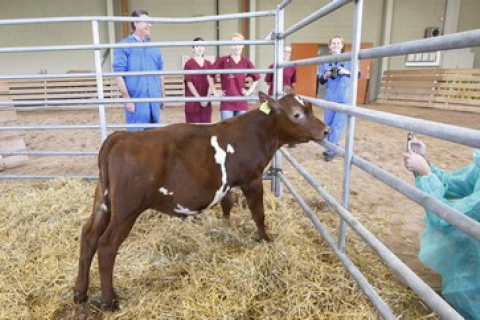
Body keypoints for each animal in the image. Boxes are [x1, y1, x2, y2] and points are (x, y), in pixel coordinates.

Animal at [73, 92, 328, 310]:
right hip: (127, 209)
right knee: (107, 245)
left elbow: (227, 204)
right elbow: (258, 213)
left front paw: (227, 225)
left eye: (309, 108)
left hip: (103, 201)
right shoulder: (252, 179)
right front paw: (266, 240)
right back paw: (108, 302)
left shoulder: (227, 184)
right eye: (297, 114)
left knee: (89, 236)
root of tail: (121, 137)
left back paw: (80, 292)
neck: (256, 133)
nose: (325, 131)